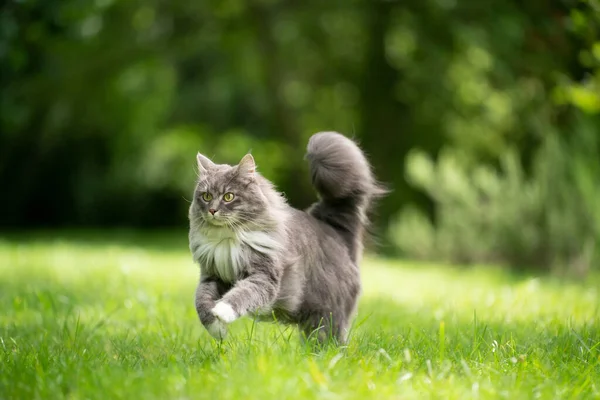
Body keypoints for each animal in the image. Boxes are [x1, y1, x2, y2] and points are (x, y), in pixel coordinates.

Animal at [188, 132, 384, 344]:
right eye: (206, 196)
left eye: (228, 196)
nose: (212, 210)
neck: (228, 241)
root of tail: (335, 229)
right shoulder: (211, 276)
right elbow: (201, 303)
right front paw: (218, 330)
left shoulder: (264, 276)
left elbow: (242, 293)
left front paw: (222, 311)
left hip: (327, 317)